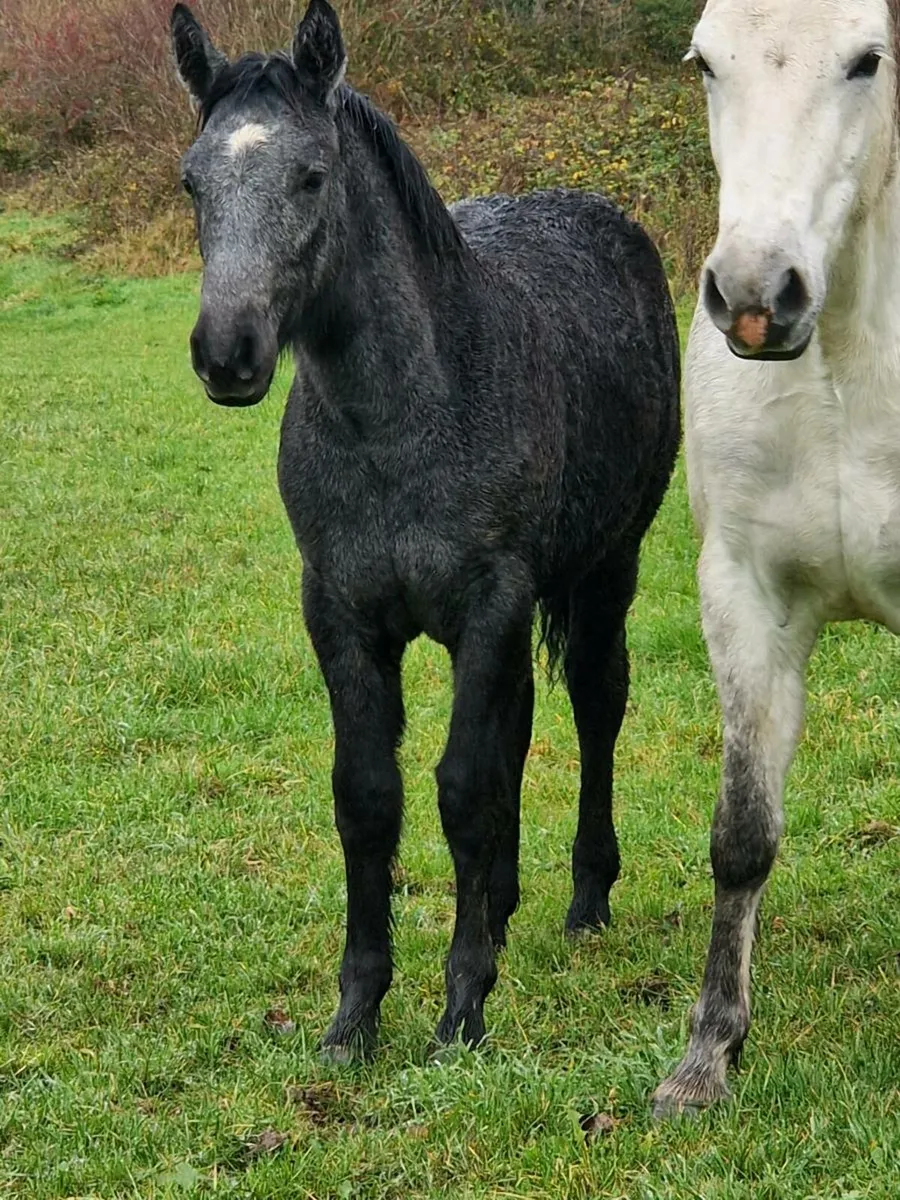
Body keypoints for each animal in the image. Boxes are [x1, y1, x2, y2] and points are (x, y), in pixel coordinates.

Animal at [171, 0, 680, 1059]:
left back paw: (585, 902)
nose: (228, 352)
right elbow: (371, 796)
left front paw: (461, 1007)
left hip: (608, 568)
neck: (401, 419)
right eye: (192, 181)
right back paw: (507, 905)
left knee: (596, 705)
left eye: (311, 175)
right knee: (520, 730)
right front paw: (354, 1016)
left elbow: (462, 788)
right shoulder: (342, 613)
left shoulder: (489, 604)